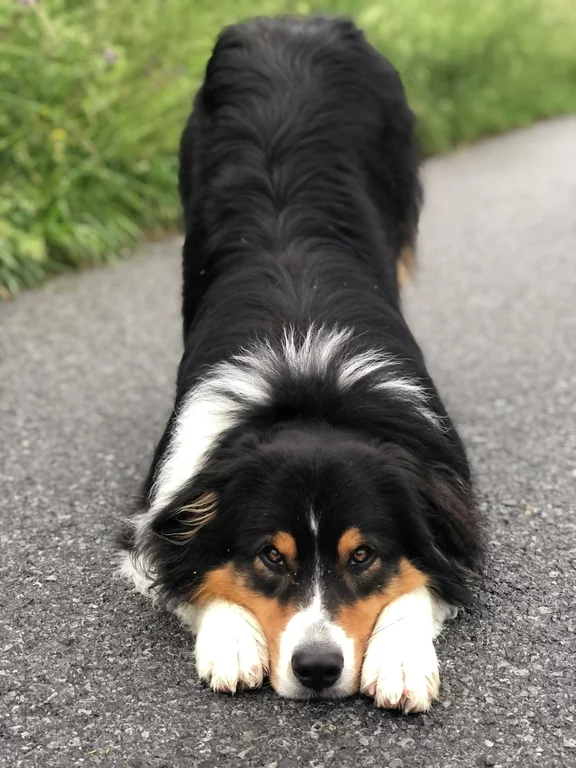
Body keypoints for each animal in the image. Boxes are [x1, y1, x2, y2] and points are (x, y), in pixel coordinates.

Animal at [119, 15, 482, 712]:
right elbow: (190, 569)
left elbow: (424, 576)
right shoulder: (164, 507)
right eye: (270, 556)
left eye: (363, 556)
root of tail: (291, 19)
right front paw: (232, 640)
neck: (308, 388)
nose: (316, 668)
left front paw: (399, 659)